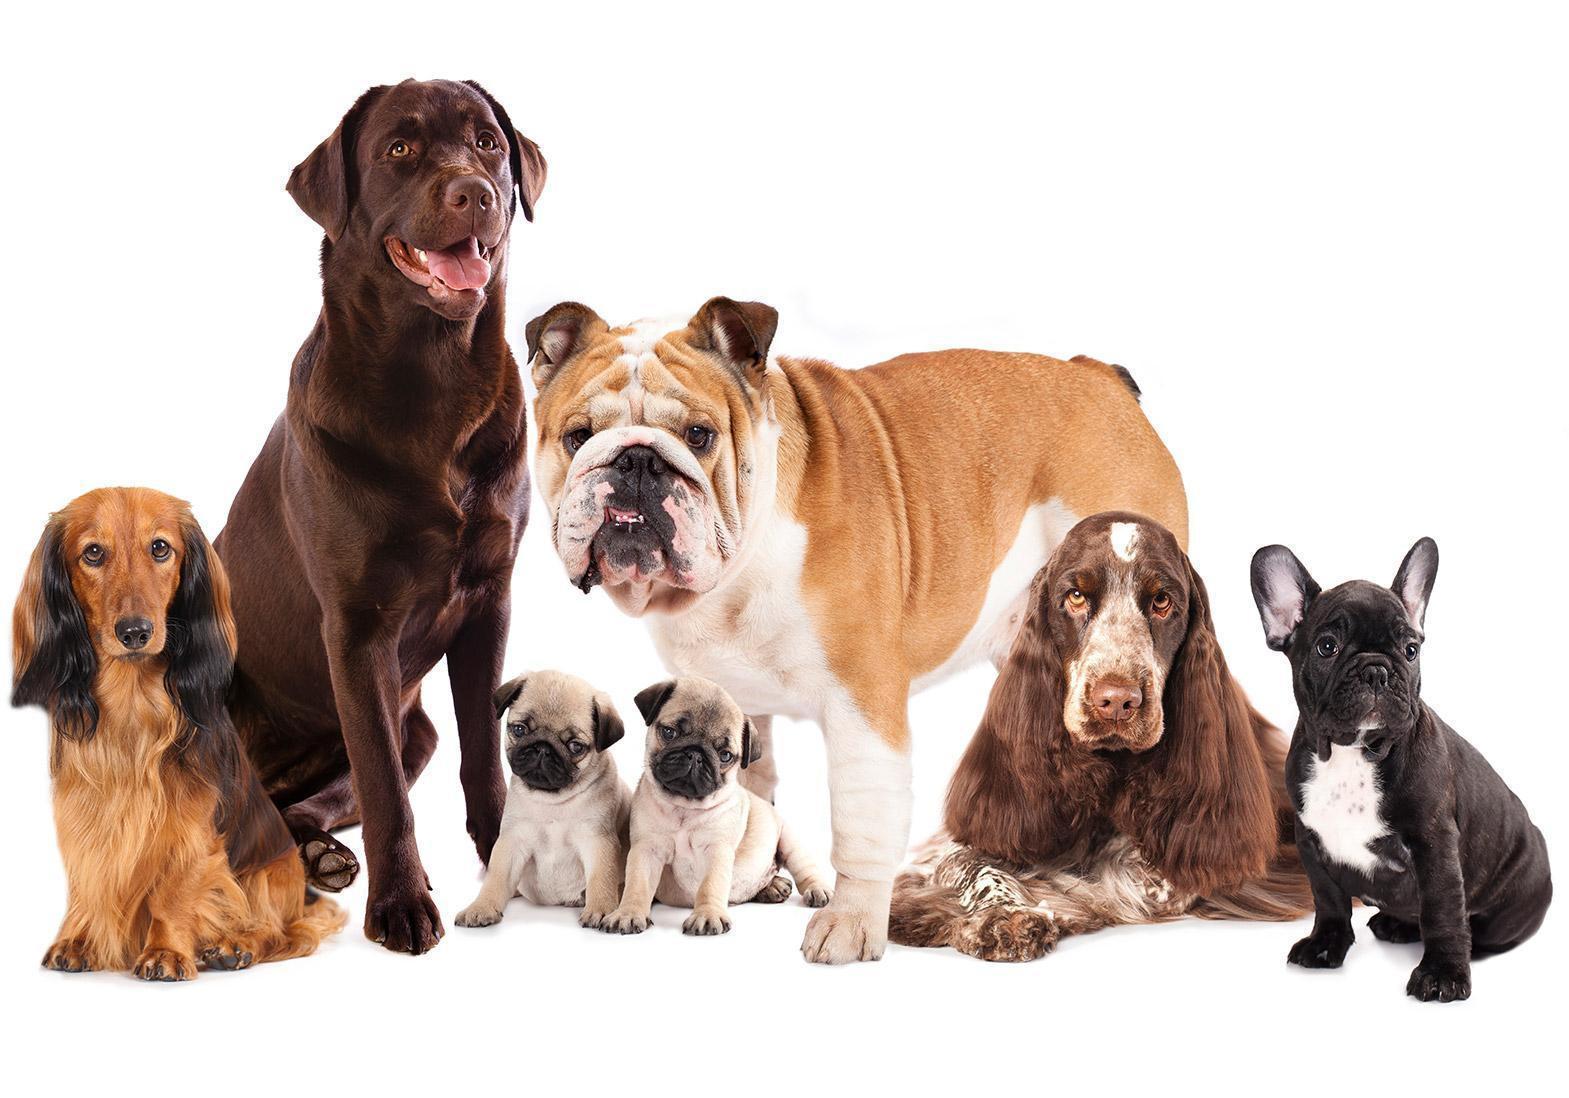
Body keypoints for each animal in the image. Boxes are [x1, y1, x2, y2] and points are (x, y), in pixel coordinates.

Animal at [455, 668, 630, 928]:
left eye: (575, 746)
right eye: (519, 730)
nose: (543, 748)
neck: (552, 802)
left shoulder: (598, 841)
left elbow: (601, 879)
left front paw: (600, 909)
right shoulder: (511, 841)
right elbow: (496, 878)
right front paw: (482, 907)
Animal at [602, 677, 834, 934]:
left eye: (725, 756)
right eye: (669, 732)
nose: (695, 754)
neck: (683, 809)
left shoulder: (717, 850)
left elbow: (710, 885)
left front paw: (707, 916)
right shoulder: (646, 849)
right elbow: (637, 884)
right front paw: (628, 913)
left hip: (789, 842)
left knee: (804, 869)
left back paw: (814, 889)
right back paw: (772, 887)